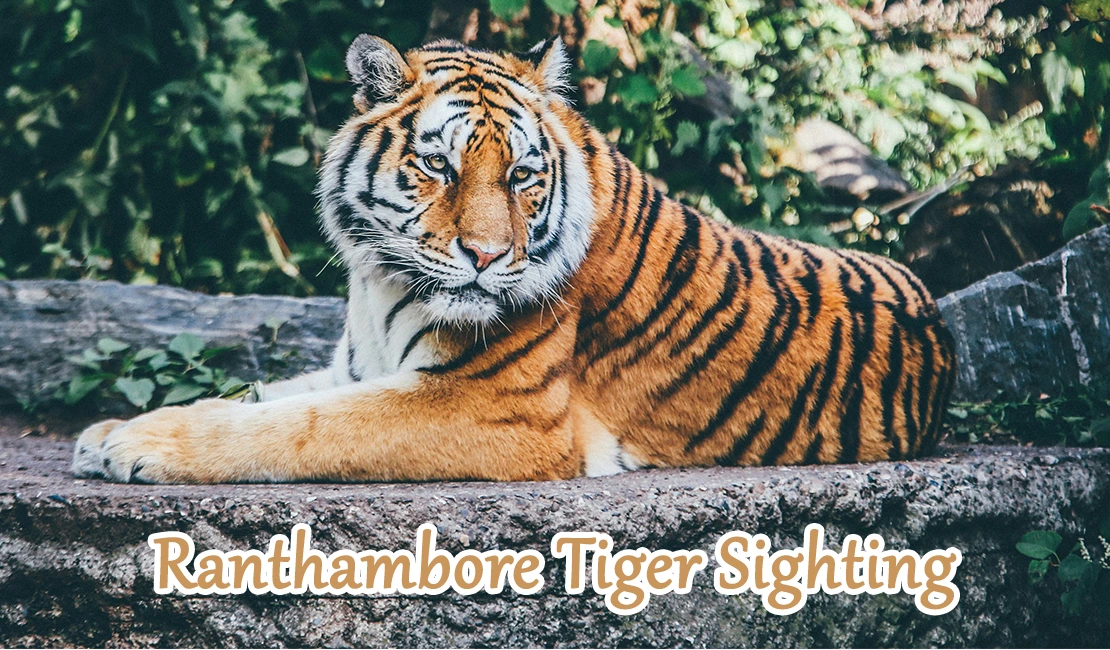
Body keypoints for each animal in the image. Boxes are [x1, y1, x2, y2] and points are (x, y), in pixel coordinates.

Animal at [72, 35, 957, 484]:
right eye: (439, 166)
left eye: (523, 176)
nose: (488, 256)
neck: (378, 281)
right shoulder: (358, 366)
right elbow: (259, 397)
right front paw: (111, 430)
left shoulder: (492, 408)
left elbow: (298, 427)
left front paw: (137, 447)